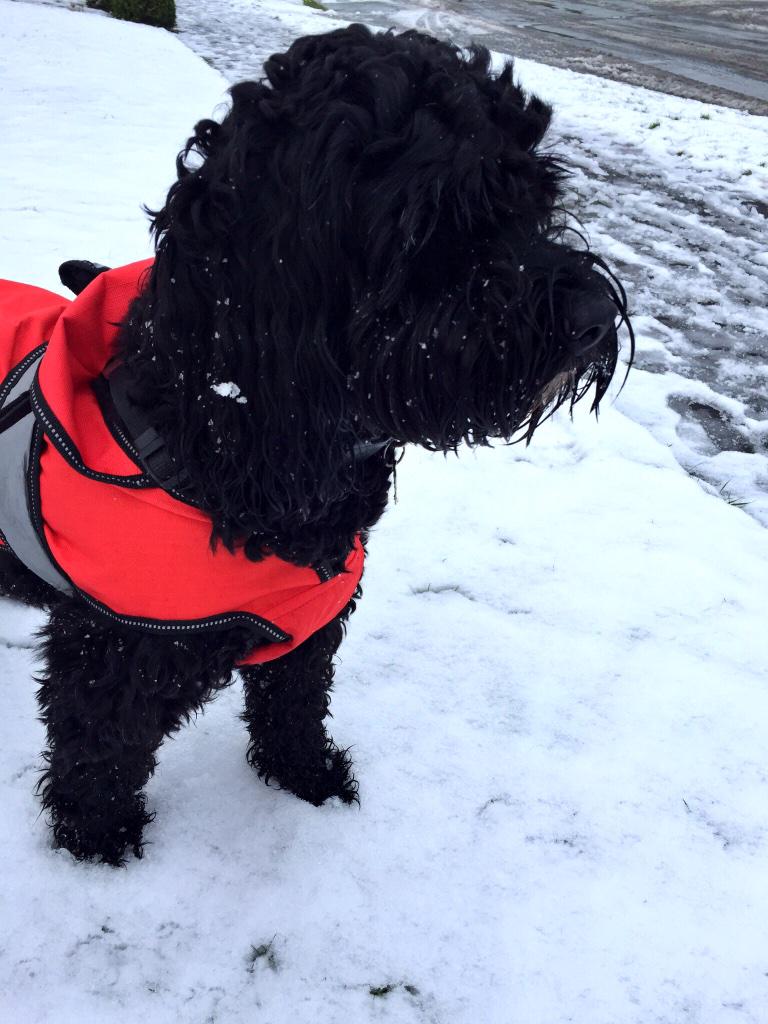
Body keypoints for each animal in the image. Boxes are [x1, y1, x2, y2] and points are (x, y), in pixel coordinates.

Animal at [1, 25, 630, 864]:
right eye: (439, 214)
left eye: (538, 198)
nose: (594, 317)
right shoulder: (111, 651)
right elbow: (97, 754)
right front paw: (100, 849)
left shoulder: (308, 627)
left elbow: (294, 704)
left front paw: (310, 780)